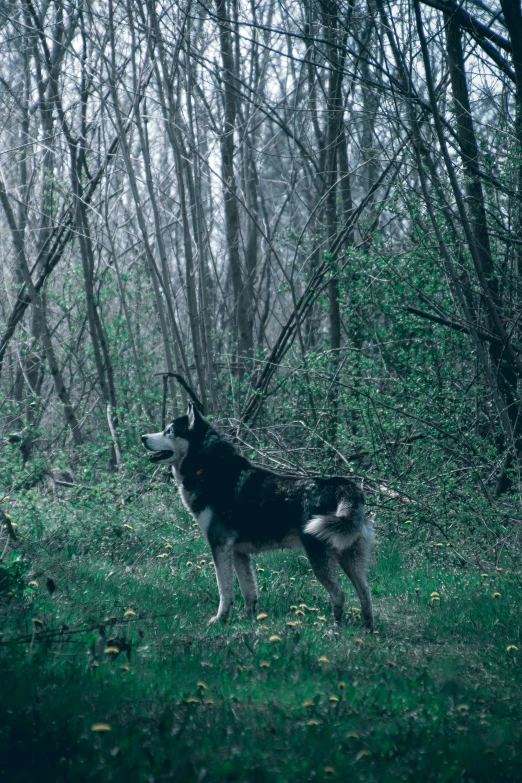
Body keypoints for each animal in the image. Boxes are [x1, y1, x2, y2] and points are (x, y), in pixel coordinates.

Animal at [140, 404, 372, 632]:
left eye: (169, 431)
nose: (142, 437)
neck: (207, 467)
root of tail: (343, 486)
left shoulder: (219, 546)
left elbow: (225, 590)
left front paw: (221, 619)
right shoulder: (238, 553)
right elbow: (248, 591)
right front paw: (248, 619)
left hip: (319, 558)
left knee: (339, 594)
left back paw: (334, 629)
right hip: (349, 559)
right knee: (365, 593)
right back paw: (367, 629)